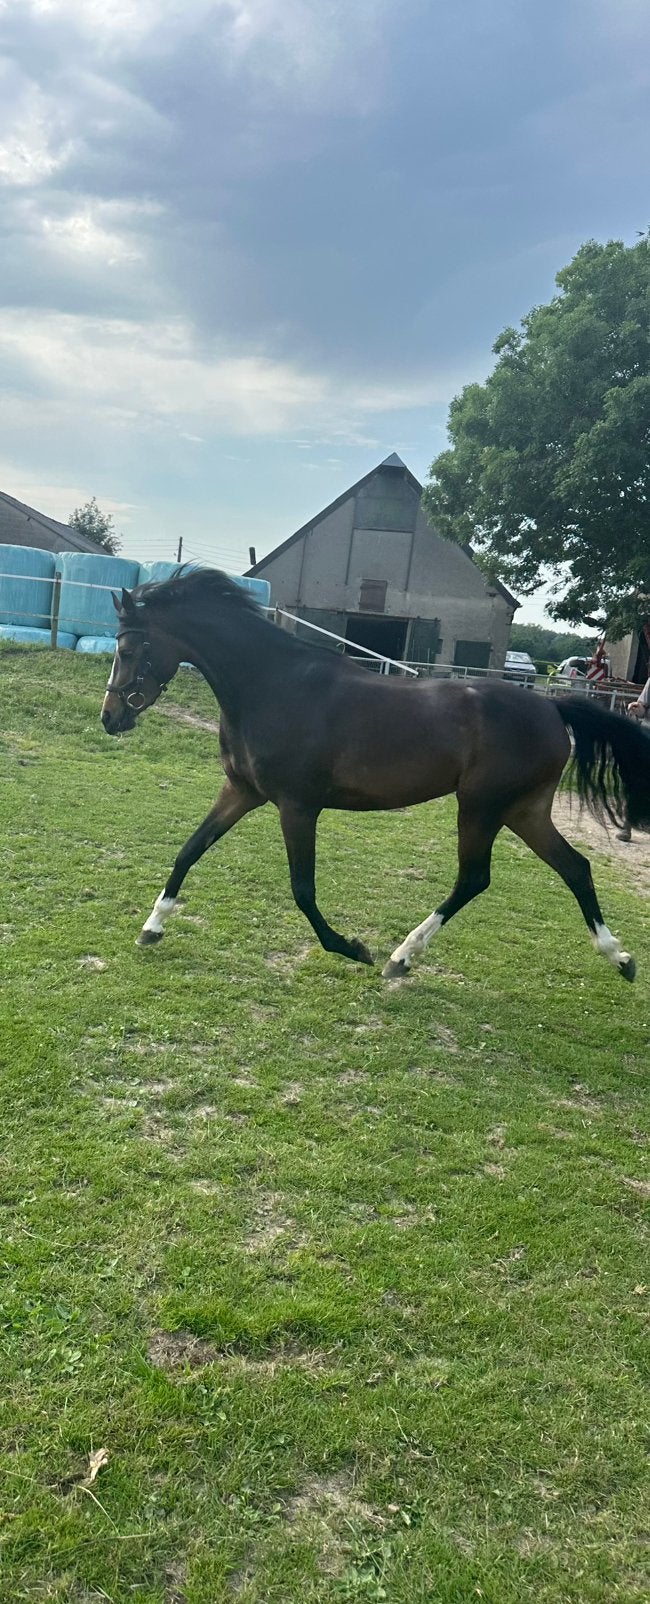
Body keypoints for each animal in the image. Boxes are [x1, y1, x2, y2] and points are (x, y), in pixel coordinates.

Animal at [100, 568, 650, 983]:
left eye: (128, 651)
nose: (110, 718)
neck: (272, 687)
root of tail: (552, 709)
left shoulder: (298, 806)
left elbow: (303, 888)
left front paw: (350, 947)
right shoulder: (241, 791)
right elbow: (189, 850)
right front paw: (152, 927)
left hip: (481, 808)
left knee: (475, 878)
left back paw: (400, 957)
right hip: (523, 810)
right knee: (575, 868)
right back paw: (620, 957)